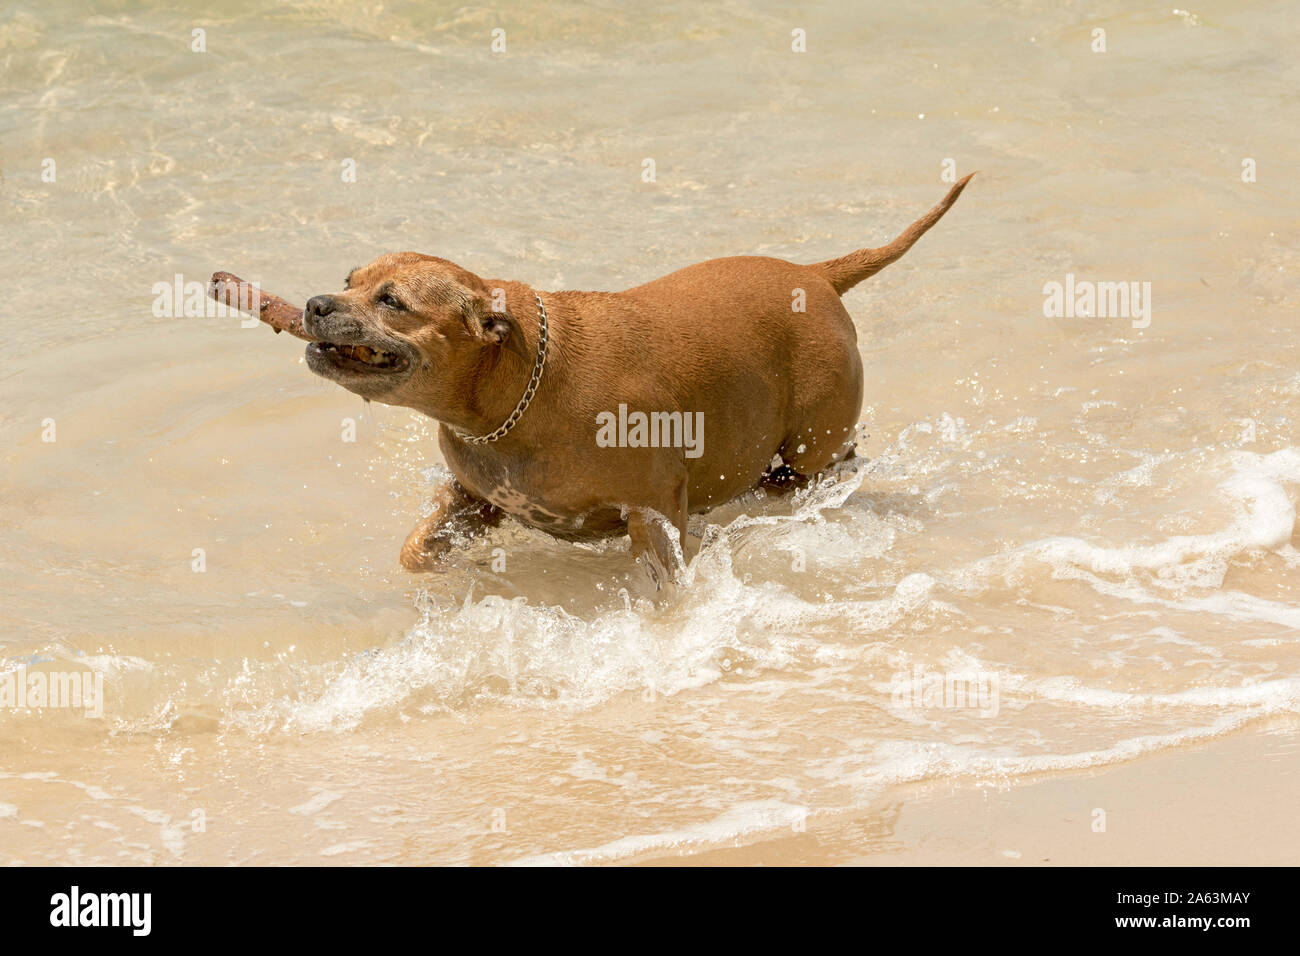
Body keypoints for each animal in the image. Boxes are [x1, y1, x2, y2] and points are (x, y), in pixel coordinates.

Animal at [292, 176, 967, 587]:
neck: (517, 396)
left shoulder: (654, 508)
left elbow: (661, 583)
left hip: (813, 445)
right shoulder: (473, 498)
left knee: (820, 468)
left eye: (391, 301)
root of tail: (817, 273)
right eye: (349, 280)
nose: (316, 303)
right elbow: (417, 547)